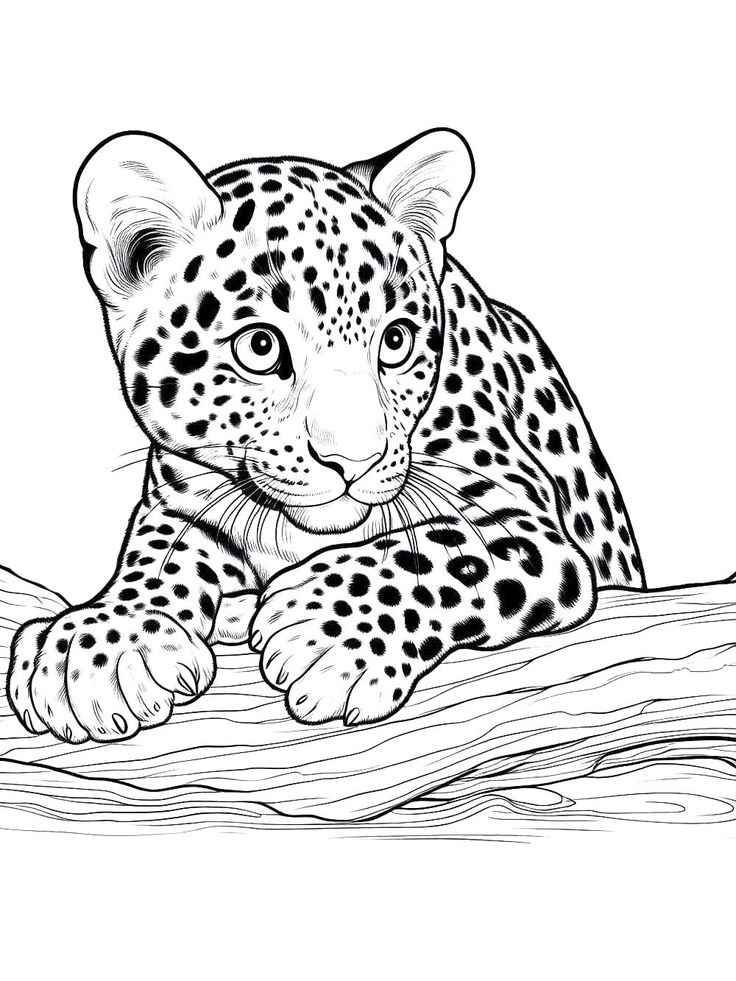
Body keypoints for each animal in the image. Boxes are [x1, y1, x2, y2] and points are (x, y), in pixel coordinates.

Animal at [6, 128, 644, 743]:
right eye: (259, 347)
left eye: (396, 340)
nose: (353, 460)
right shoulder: (179, 497)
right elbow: (154, 557)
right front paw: (100, 643)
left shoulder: (524, 518)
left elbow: (445, 552)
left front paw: (324, 630)